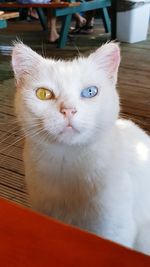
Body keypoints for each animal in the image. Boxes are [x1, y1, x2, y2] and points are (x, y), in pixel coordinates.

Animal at [12, 42, 150, 255]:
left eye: (90, 92)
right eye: (43, 94)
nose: (68, 110)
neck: (66, 166)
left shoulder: (113, 228)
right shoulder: (45, 212)